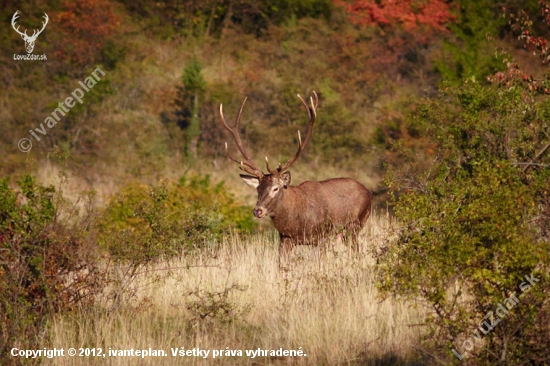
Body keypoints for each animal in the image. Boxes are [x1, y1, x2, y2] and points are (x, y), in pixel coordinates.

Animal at [220, 90, 376, 264]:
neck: (297, 222)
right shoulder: (285, 238)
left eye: (276, 188)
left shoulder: (322, 236)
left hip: (356, 224)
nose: (257, 211)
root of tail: (369, 192)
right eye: (258, 189)